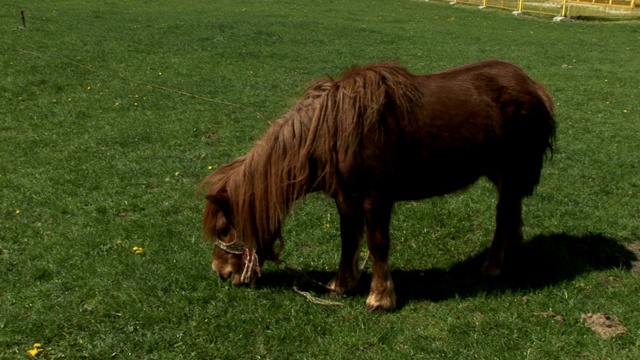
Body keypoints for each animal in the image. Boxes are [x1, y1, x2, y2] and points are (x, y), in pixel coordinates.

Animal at [201, 59, 556, 312]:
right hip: (500, 172)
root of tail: (532, 85)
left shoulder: (376, 198)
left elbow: (377, 243)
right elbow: (349, 240)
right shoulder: (345, 198)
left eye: (223, 229)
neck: (334, 129)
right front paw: (341, 284)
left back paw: (493, 265)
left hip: (510, 170)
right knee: (513, 210)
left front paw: (380, 298)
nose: (220, 272)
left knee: (503, 215)